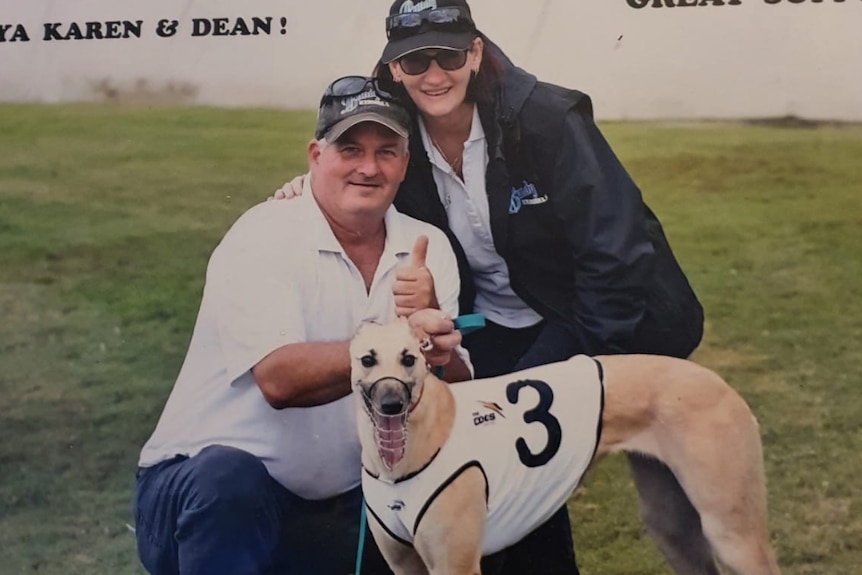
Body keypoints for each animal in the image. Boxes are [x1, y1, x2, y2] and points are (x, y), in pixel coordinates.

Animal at [352, 320, 784, 575]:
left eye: (410, 358)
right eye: (367, 359)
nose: (392, 404)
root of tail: (716, 380)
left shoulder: (456, 566)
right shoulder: (405, 565)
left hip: (733, 535)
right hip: (672, 526)